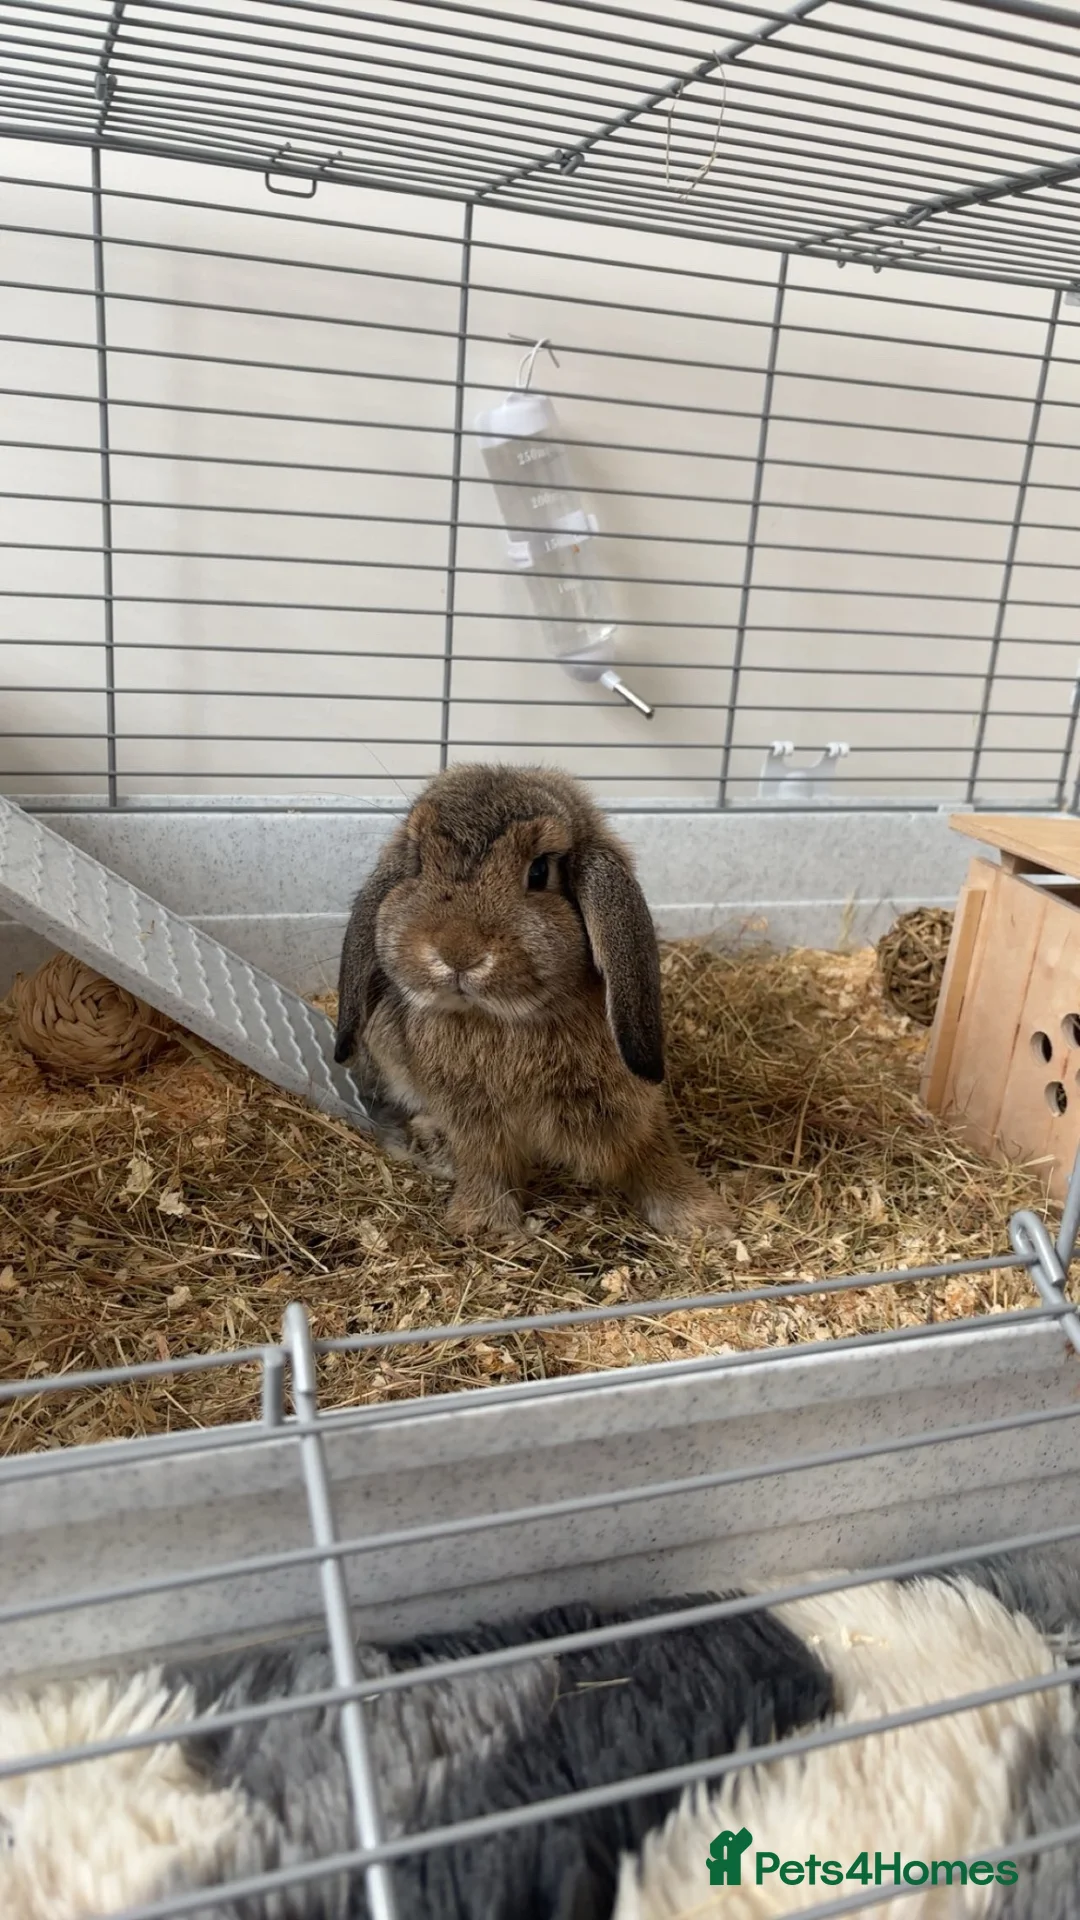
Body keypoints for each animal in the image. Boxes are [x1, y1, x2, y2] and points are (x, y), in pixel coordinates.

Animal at [334, 763, 732, 1242]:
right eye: (420, 865)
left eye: (540, 871)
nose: (458, 951)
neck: (507, 1021)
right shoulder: (473, 1119)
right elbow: (488, 1166)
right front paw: (483, 1225)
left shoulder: (628, 1105)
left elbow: (649, 1151)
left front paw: (699, 1219)